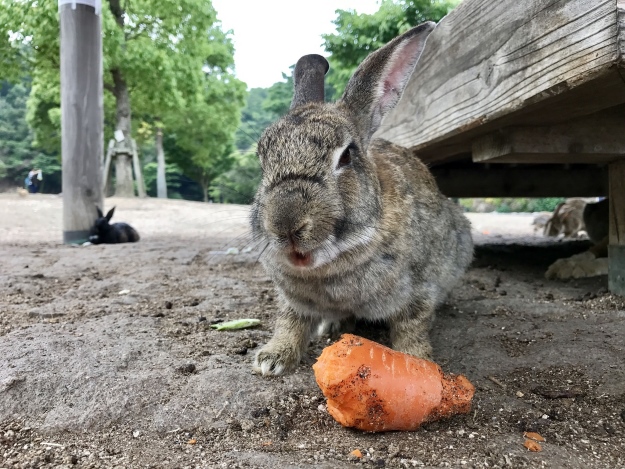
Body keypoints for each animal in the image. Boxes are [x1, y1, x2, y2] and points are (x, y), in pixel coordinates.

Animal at [249, 22, 472, 374]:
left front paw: (418, 364)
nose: (285, 224)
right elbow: (290, 320)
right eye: (262, 162)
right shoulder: (292, 301)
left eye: (346, 157)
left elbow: (412, 326)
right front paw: (273, 359)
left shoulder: (420, 290)